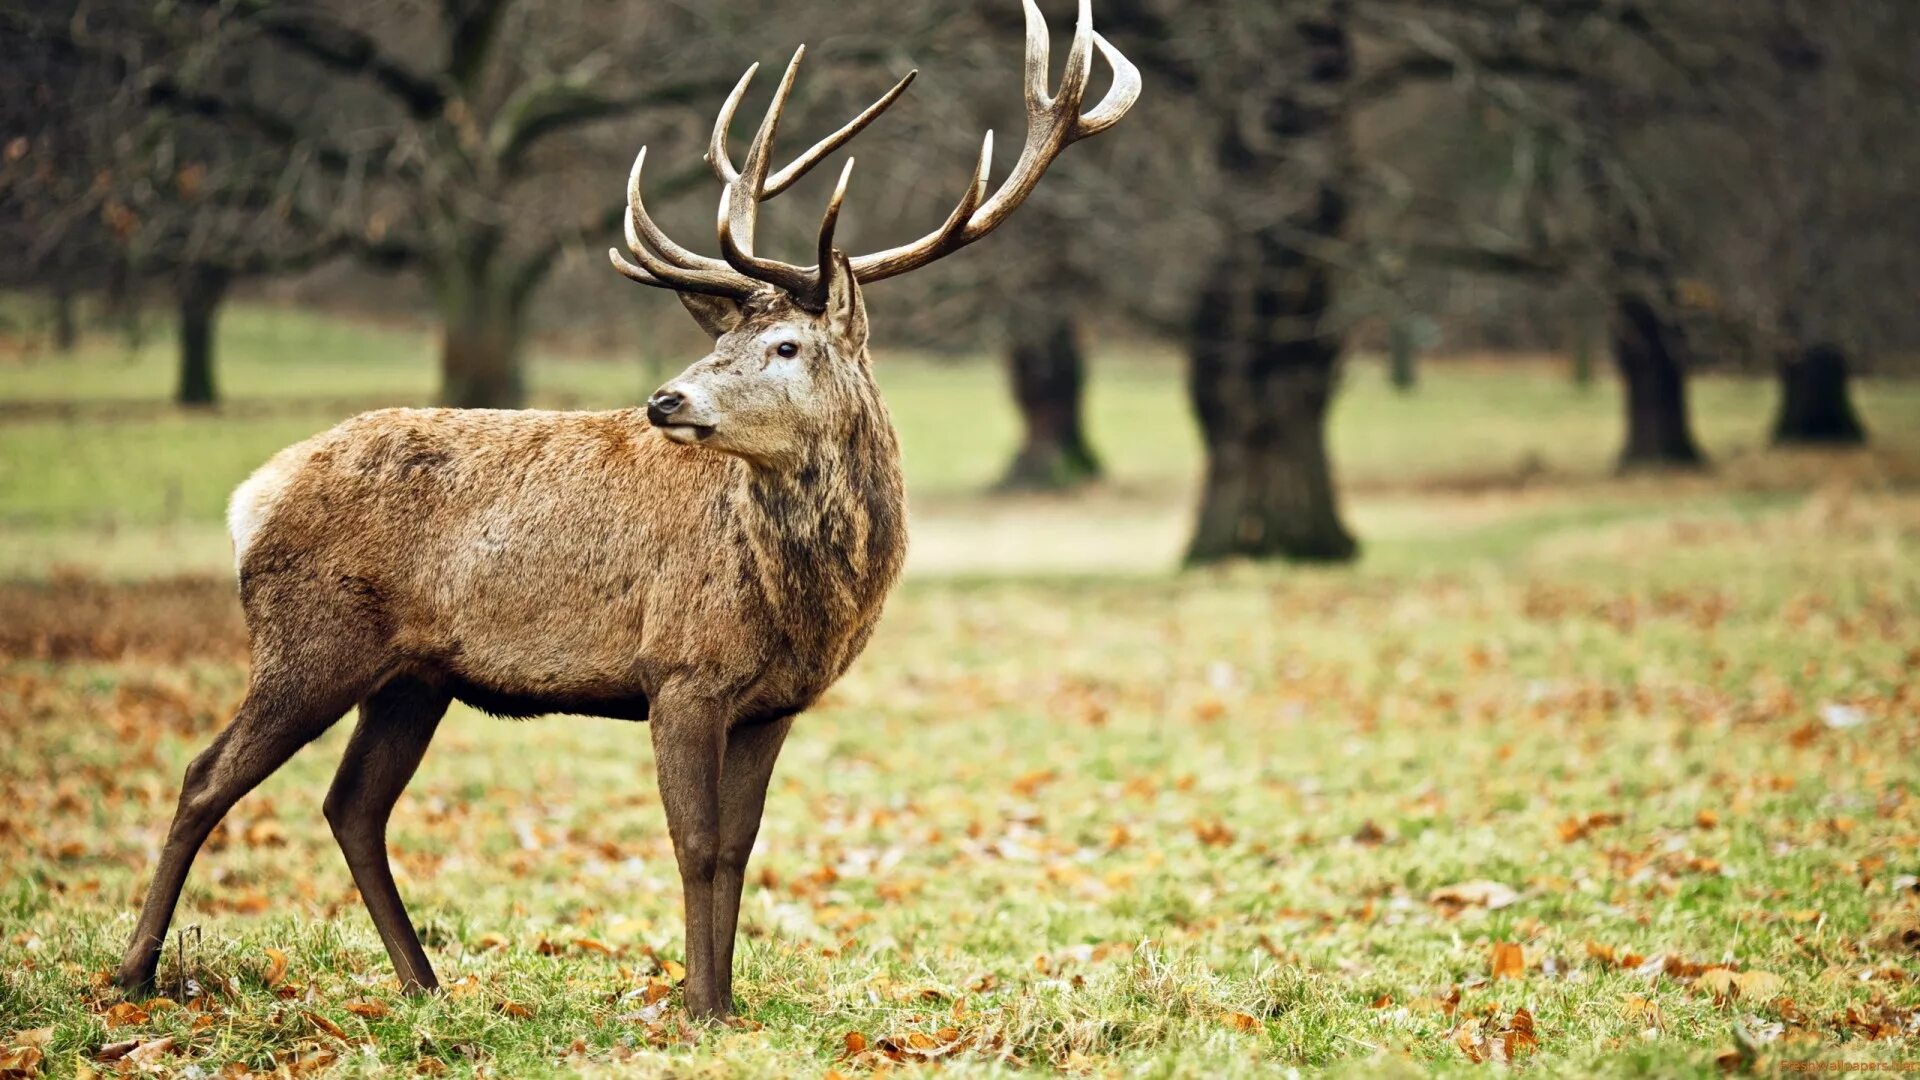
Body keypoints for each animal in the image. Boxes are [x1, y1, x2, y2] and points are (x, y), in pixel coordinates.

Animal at [116, 0, 1136, 1014]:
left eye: (786, 346)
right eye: (725, 339)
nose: (665, 399)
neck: (802, 606)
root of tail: (250, 497)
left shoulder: (773, 704)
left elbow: (740, 848)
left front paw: (725, 1005)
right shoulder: (679, 670)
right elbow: (695, 844)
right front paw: (697, 1006)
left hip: (414, 676)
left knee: (352, 805)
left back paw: (424, 985)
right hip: (311, 637)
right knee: (207, 775)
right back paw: (135, 974)